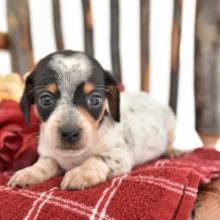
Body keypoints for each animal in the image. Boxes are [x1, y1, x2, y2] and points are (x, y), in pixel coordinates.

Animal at [7, 49, 175, 189]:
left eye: (95, 99)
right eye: (46, 99)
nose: (70, 133)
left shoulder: (120, 156)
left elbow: (97, 158)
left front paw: (82, 172)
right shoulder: (49, 155)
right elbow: (46, 163)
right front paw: (29, 172)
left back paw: (173, 150)